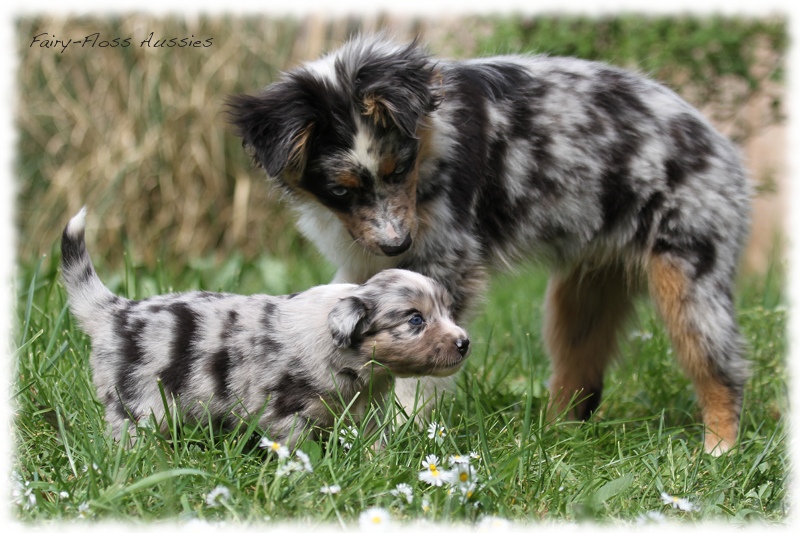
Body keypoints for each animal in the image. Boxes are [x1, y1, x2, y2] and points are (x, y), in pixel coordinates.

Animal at [65, 206, 472, 442]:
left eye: (448, 312)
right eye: (416, 320)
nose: (464, 342)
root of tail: (114, 311)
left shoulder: (363, 408)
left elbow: (373, 440)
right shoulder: (283, 412)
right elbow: (298, 444)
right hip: (140, 402)